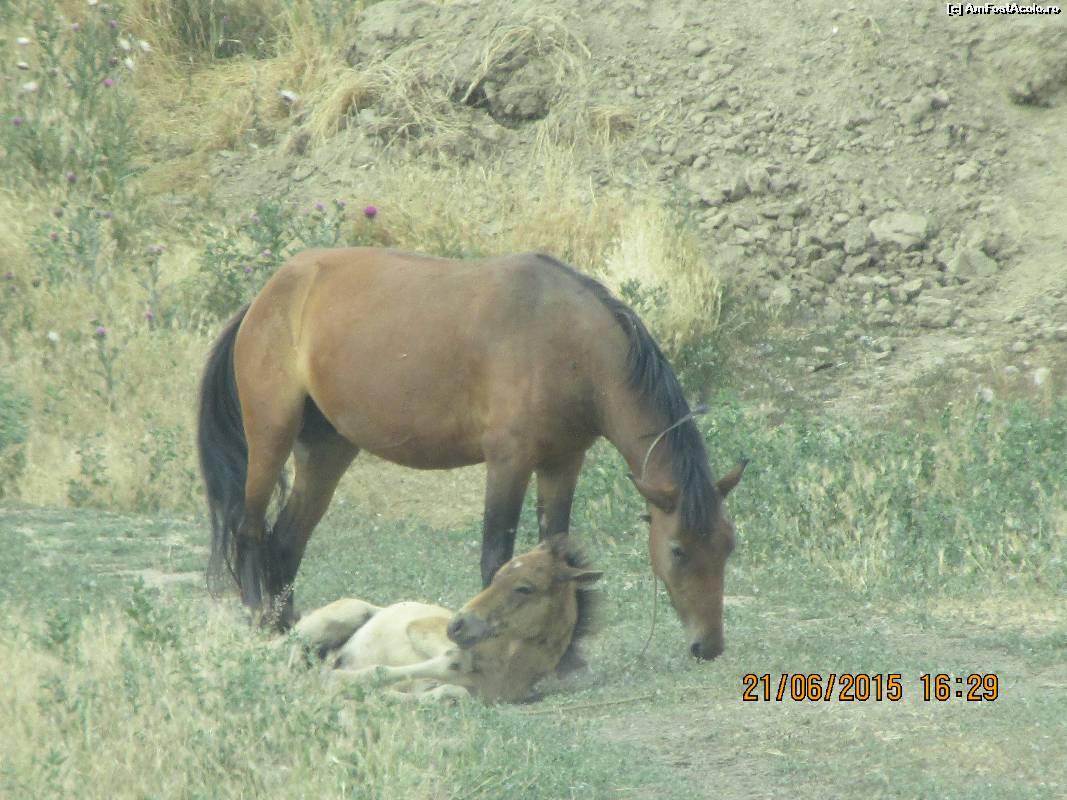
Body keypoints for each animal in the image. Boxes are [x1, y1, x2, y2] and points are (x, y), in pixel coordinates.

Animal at [197, 246, 746, 659]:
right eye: (677, 550)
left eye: (728, 545)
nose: (709, 645)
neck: (567, 342)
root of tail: (264, 298)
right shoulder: (508, 463)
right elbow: (496, 559)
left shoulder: (562, 463)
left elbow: (557, 555)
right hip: (270, 438)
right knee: (249, 530)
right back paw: (260, 621)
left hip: (327, 450)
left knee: (287, 541)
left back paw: (291, 628)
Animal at [290, 536, 601, 703]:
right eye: (497, 574)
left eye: (524, 588)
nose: (457, 624)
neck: (503, 665)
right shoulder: (424, 632)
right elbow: (442, 662)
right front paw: (338, 681)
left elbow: (449, 690)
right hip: (342, 616)